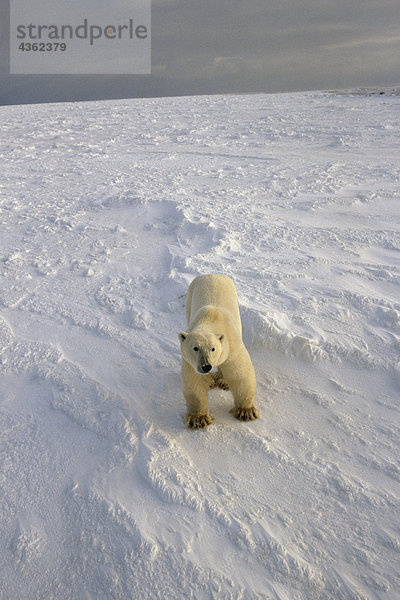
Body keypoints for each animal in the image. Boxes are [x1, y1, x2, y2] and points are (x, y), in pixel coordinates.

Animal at [178, 274, 260, 428]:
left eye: (213, 348)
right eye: (195, 348)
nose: (206, 366)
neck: (211, 320)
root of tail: (210, 274)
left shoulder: (232, 348)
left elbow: (240, 375)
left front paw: (246, 412)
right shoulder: (190, 362)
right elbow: (194, 382)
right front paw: (199, 419)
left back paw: (223, 382)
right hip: (190, 297)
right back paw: (211, 382)